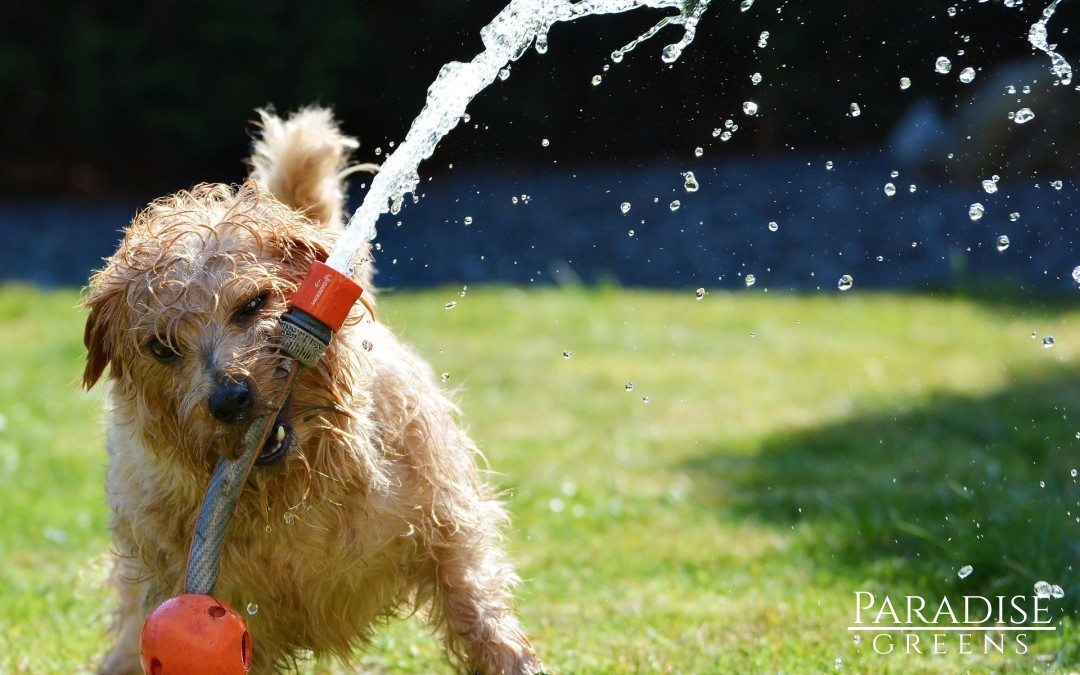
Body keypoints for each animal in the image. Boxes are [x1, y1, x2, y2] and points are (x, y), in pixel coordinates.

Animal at [82, 108, 548, 669]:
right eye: (162, 347)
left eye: (254, 303)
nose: (230, 399)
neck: (295, 491)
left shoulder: (447, 530)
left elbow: (479, 611)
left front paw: (516, 660)